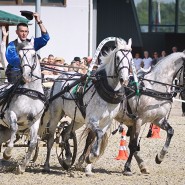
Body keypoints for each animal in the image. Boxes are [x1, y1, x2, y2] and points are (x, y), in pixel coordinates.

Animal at [0, 39, 45, 173]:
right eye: (19, 56)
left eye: (34, 55)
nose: (26, 76)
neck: (30, 93)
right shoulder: (9, 113)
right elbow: (14, 128)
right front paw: (7, 154)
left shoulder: (35, 120)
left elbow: (33, 143)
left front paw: (22, 167)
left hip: (3, 130)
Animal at [41, 37, 132, 173]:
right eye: (117, 57)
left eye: (131, 58)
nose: (124, 80)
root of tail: (60, 77)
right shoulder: (92, 120)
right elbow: (97, 135)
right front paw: (91, 157)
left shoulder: (106, 122)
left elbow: (97, 139)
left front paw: (88, 165)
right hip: (56, 115)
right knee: (51, 139)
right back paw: (47, 165)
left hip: (78, 119)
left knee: (66, 133)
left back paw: (68, 157)